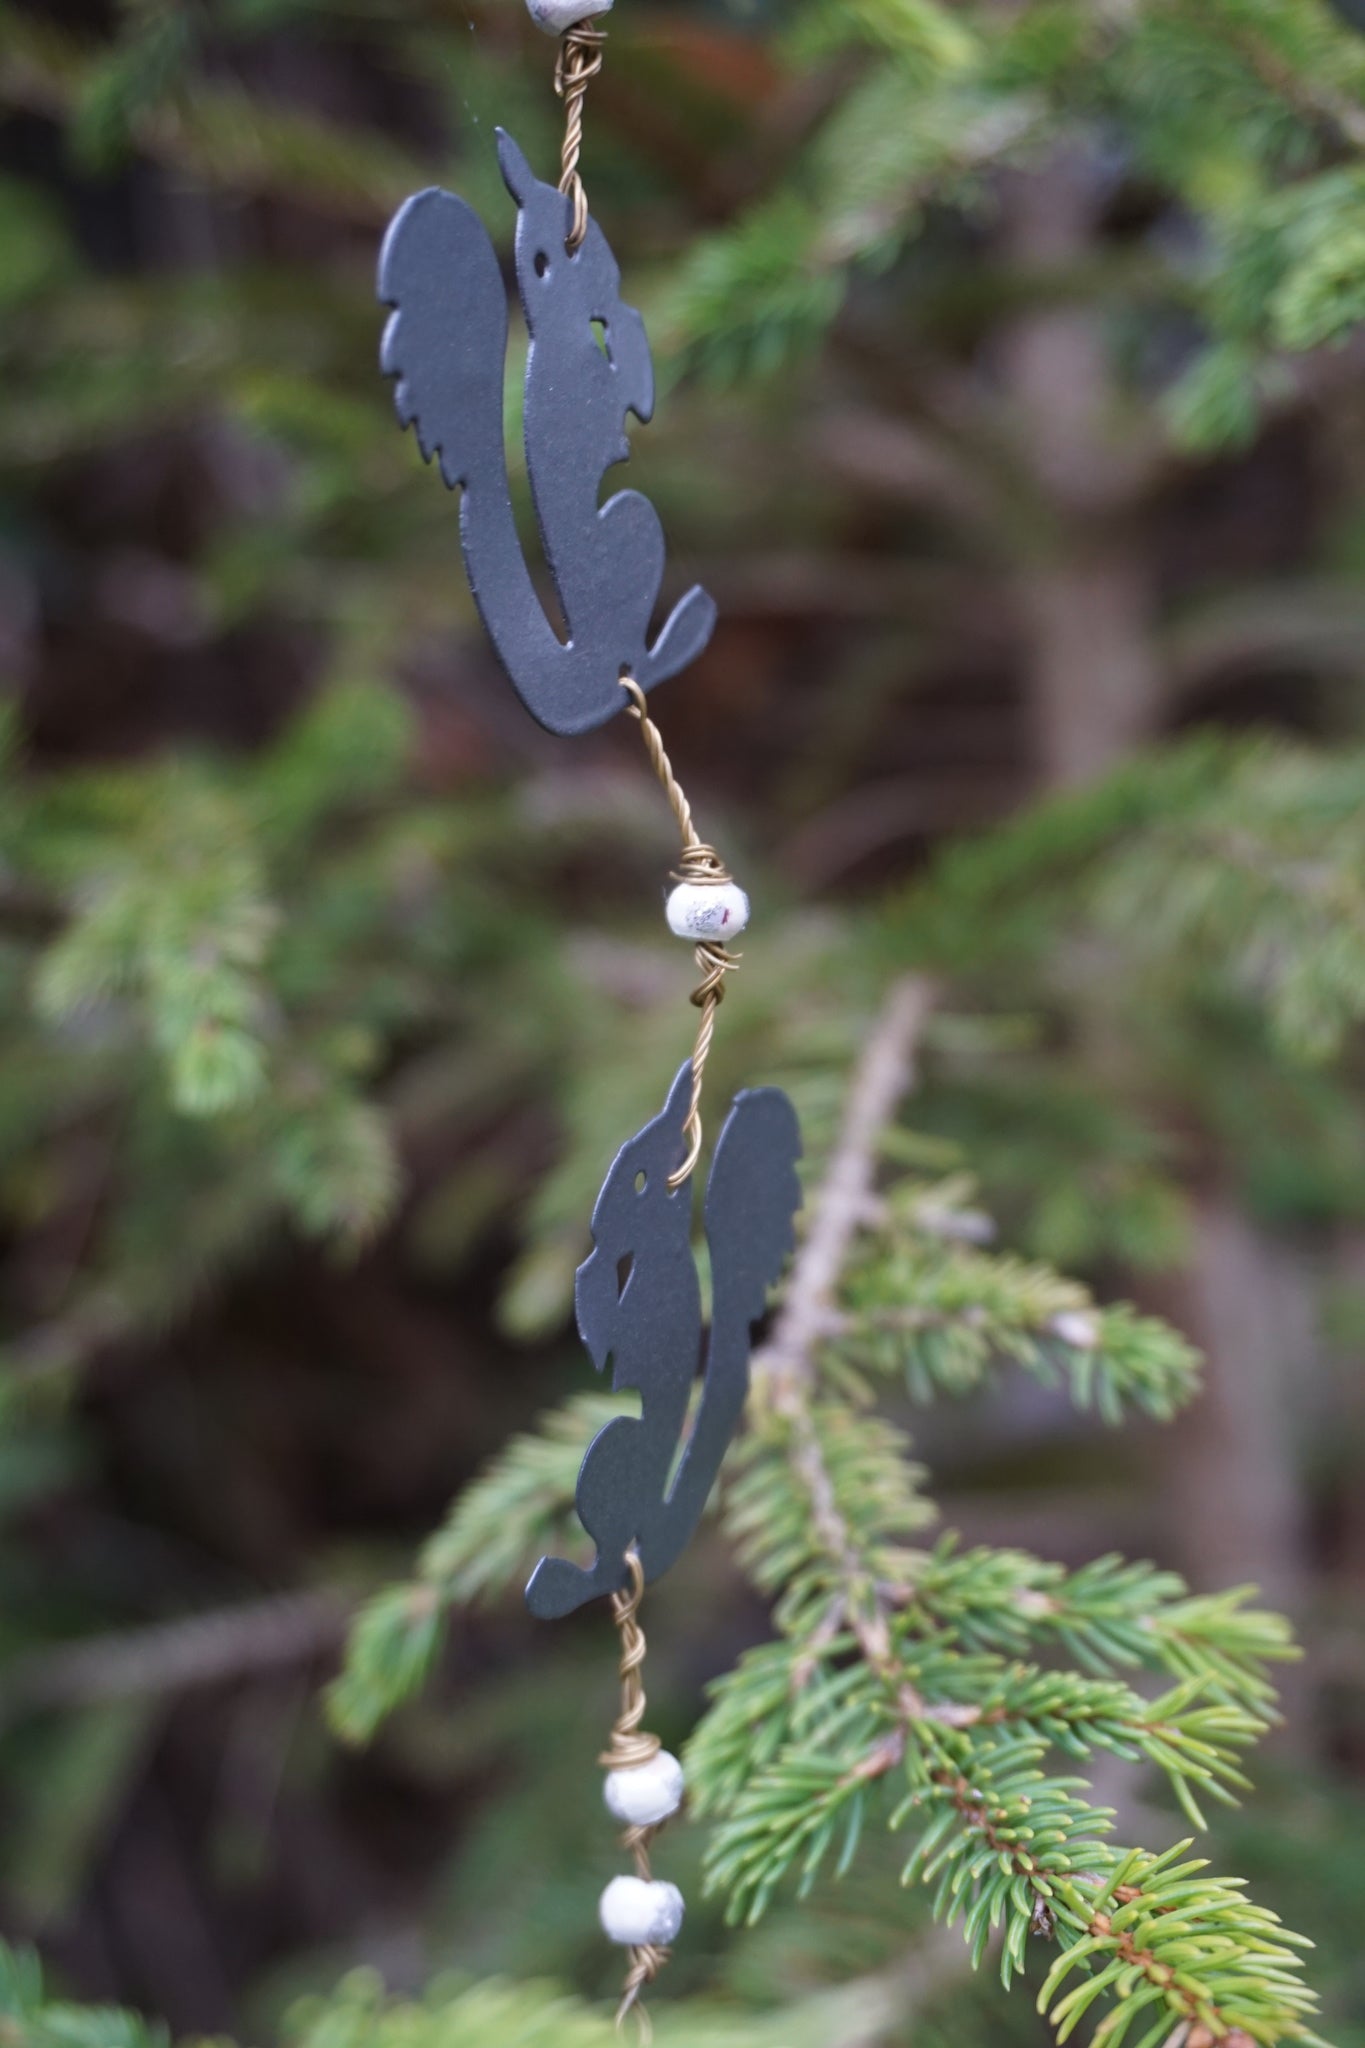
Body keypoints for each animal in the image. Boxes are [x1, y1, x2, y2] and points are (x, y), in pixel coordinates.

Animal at [378, 130, 717, 738]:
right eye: (538, 264)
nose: (595, 268)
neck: (565, 325)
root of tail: (592, 665)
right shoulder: (585, 380)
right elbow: (620, 382)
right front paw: (632, 370)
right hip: (635, 523)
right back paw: (663, 646)